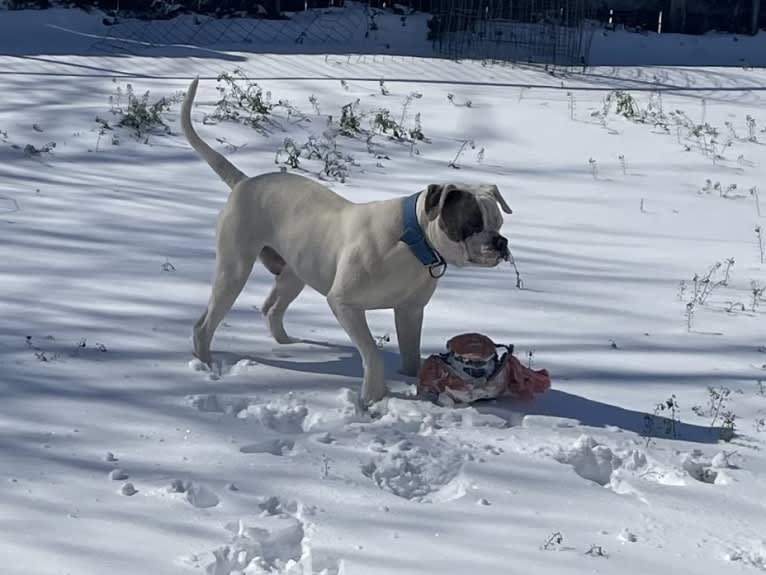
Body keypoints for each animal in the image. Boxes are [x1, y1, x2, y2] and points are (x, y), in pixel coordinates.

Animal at [182, 77, 512, 404]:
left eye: (498, 222)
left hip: (294, 273)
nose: (500, 242)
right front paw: (374, 395)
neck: (412, 242)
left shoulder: (410, 310)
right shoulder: (345, 304)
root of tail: (245, 182)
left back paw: (288, 345)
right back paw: (205, 361)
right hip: (234, 270)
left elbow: (410, 352)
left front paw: (413, 381)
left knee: (271, 308)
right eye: (472, 223)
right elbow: (372, 352)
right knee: (205, 324)